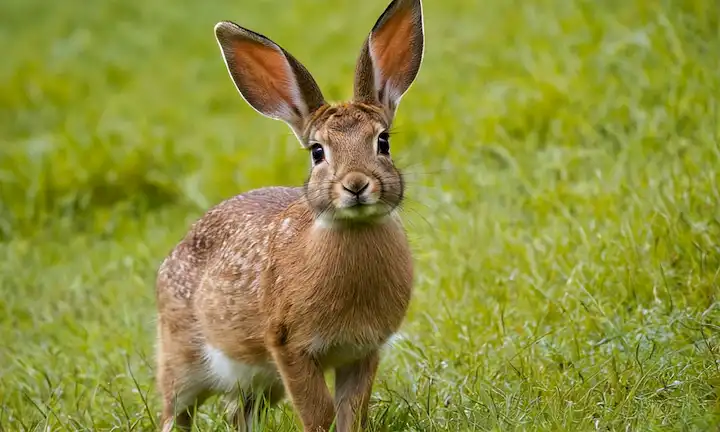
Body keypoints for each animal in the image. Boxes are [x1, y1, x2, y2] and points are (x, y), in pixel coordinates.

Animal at [154, 0, 424, 430]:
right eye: (317, 152)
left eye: (383, 142)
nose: (356, 185)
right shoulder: (290, 349)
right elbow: (319, 413)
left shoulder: (363, 352)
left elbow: (351, 412)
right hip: (185, 362)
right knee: (175, 413)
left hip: (263, 383)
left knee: (239, 412)